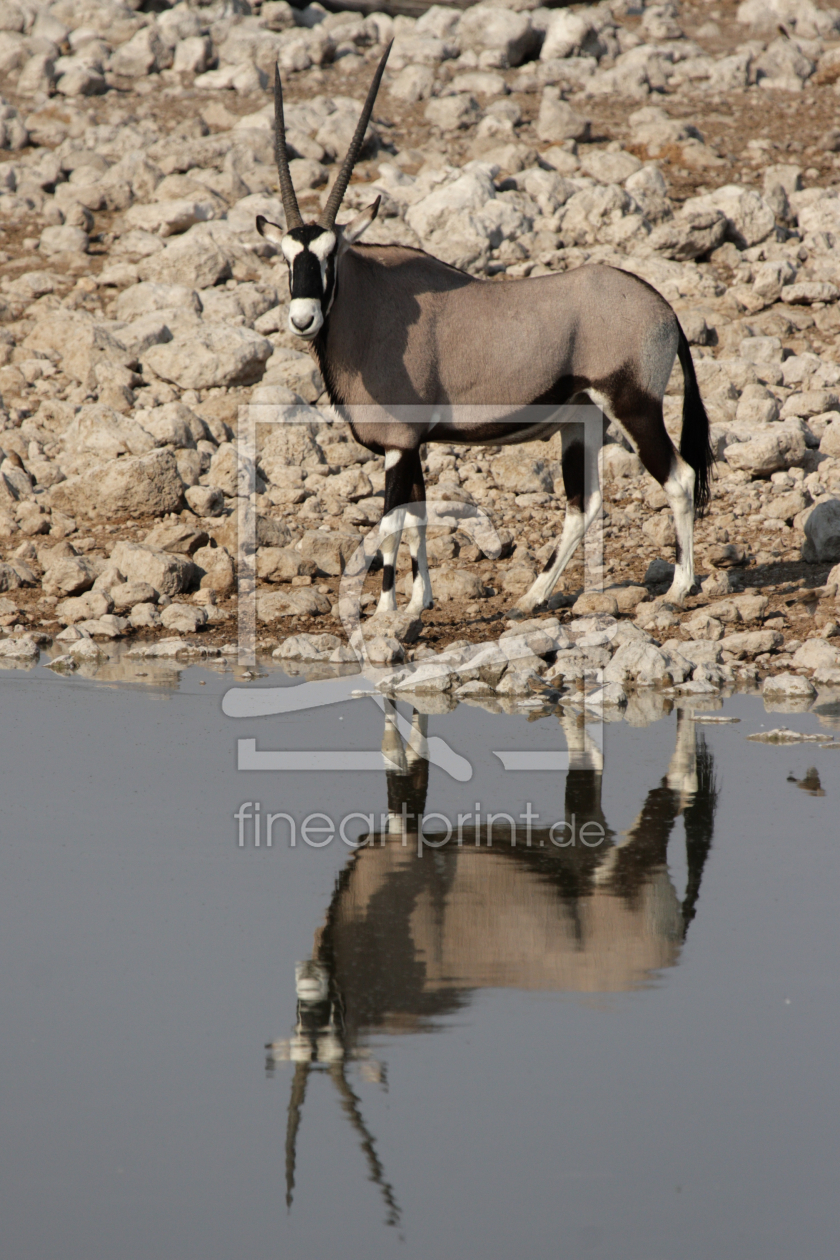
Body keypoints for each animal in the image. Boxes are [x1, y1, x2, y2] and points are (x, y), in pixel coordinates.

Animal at [254, 46, 710, 617]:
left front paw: (382, 613)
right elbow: (418, 515)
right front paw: (418, 602)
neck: (373, 303)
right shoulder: (413, 444)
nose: (303, 319)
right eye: (286, 257)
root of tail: (664, 309)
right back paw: (531, 597)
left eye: (329, 254)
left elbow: (390, 524)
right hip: (581, 422)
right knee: (583, 504)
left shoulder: (398, 445)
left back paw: (679, 587)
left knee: (679, 477)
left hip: (634, 406)